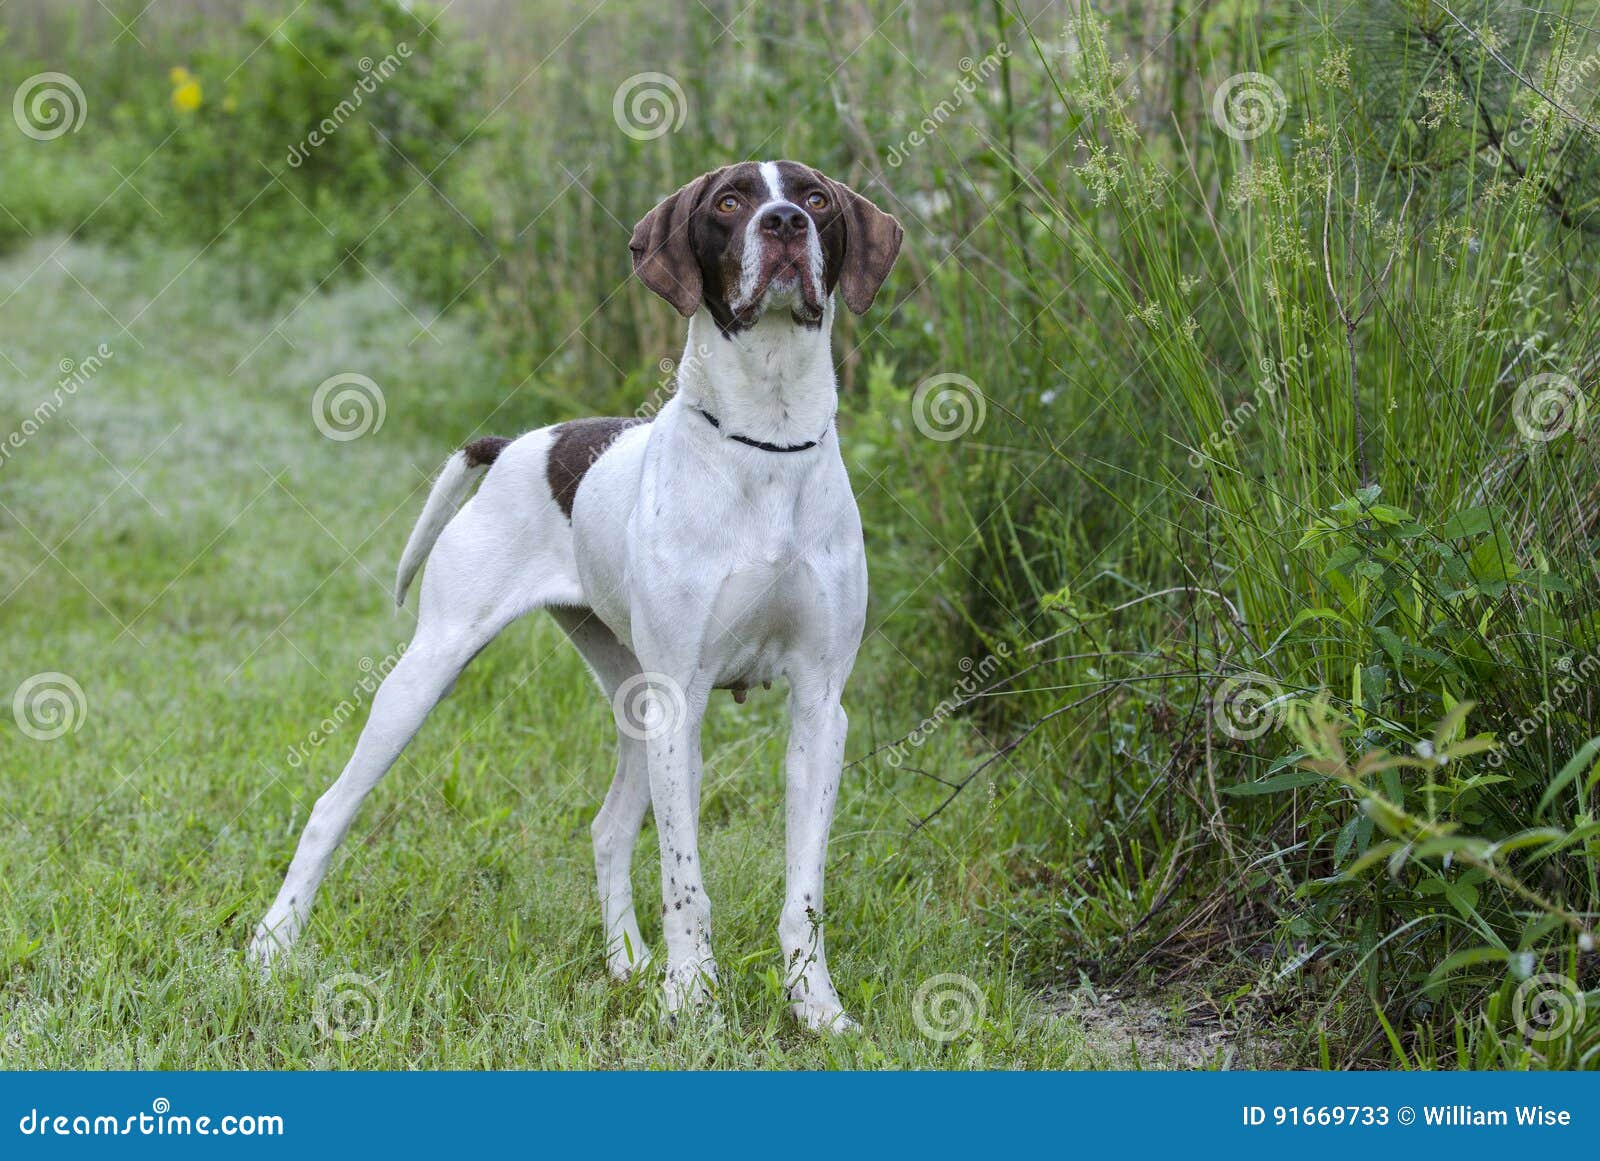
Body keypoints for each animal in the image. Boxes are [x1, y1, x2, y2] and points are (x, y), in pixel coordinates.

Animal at [246, 156, 902, 1036]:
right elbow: (685, 882)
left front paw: (816, 1006)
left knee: (606, 830)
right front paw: (692, 998)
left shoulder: (819, 710)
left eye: (817, 198)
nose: (784, 224)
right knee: (330, 805)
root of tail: (515, 444)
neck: (764, 440)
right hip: (429, 673)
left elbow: (803, 895)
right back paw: (273, 945)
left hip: (634, 707)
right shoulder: (684, 703)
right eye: (731, 201)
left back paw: (626, 961)